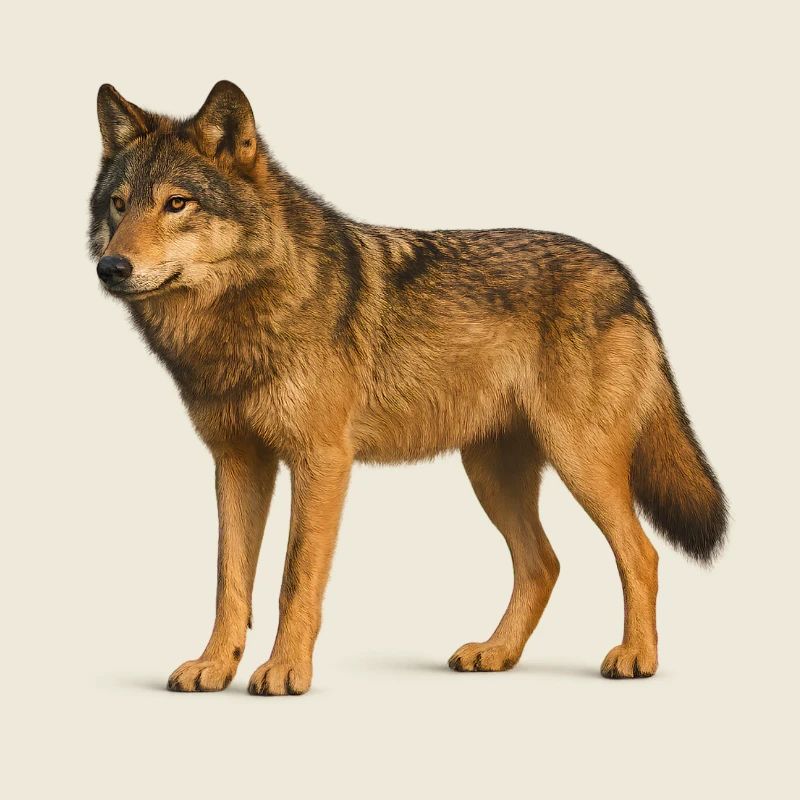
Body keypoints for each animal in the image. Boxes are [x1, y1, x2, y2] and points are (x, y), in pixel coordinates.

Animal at [90, 81, 726, 694]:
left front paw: (286, 670)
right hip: (491, 474)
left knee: (641, 554)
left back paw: (636, 657)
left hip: (580, 461)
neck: (238, 318)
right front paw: (214, 667)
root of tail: (628, 280)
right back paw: (496, 653)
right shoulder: (238, 462)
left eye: (176, 203)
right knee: (543, 564)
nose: (111, 268)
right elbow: (229, 582)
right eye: (118, 206)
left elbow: (295, 580)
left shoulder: (322, 462)